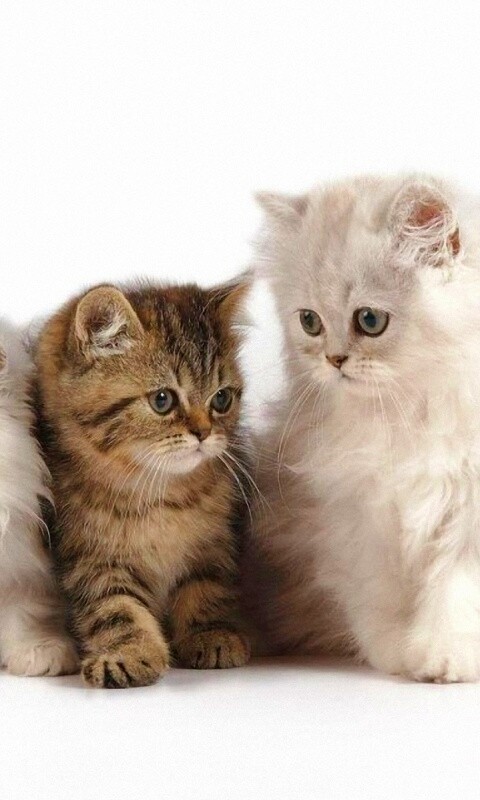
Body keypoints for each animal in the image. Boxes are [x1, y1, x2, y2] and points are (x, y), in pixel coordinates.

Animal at [34, 280, 251, 688]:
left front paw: (211, 634)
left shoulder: (213, 543)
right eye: (162, 400)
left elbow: (207, 587)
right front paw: (129, 654)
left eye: (222, 398)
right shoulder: (92, 557)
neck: (160, 494)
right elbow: (117, 608)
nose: (204, 433)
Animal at [246, 173, 480, 682]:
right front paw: (396, 652)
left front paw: (446, 657)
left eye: (370, 320)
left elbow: (456, 590)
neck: (407, 413)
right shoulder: (356, 514)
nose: (334, 360)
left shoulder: (467, 512)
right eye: (310, 322)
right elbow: (381, 596)